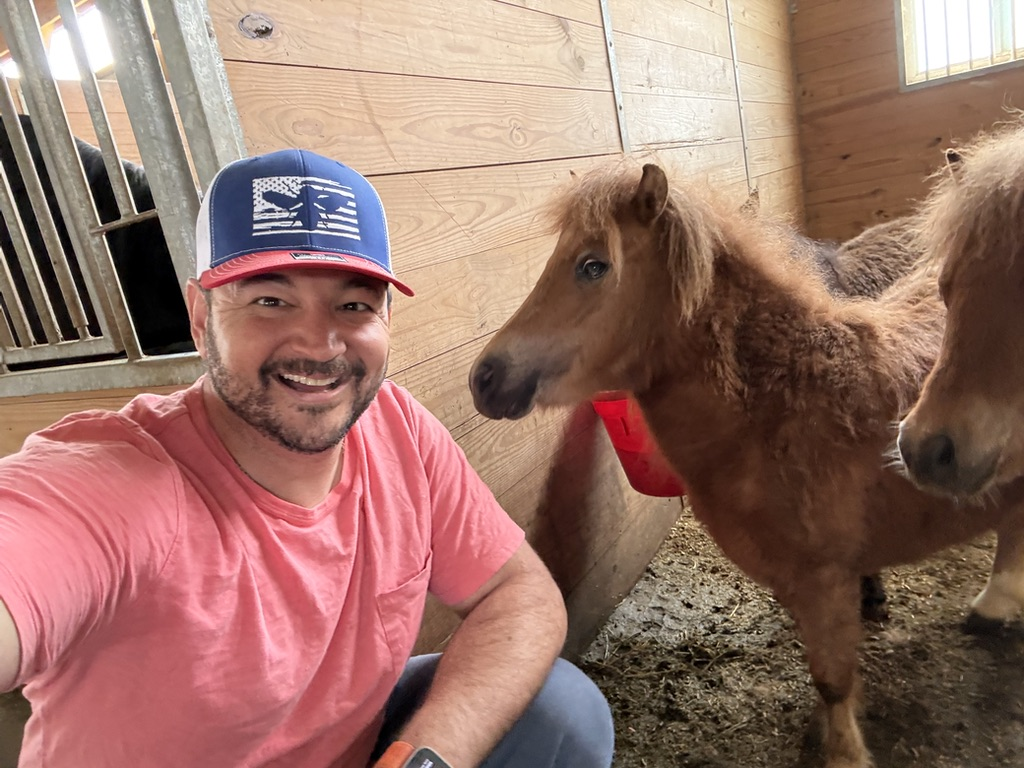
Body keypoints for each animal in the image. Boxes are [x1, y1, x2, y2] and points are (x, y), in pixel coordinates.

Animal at [468, 160, 1024, 768]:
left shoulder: (825, 580)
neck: (785, 400)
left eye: (594, 265)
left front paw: (843, 753)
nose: (485, 378)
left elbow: (833, 680)